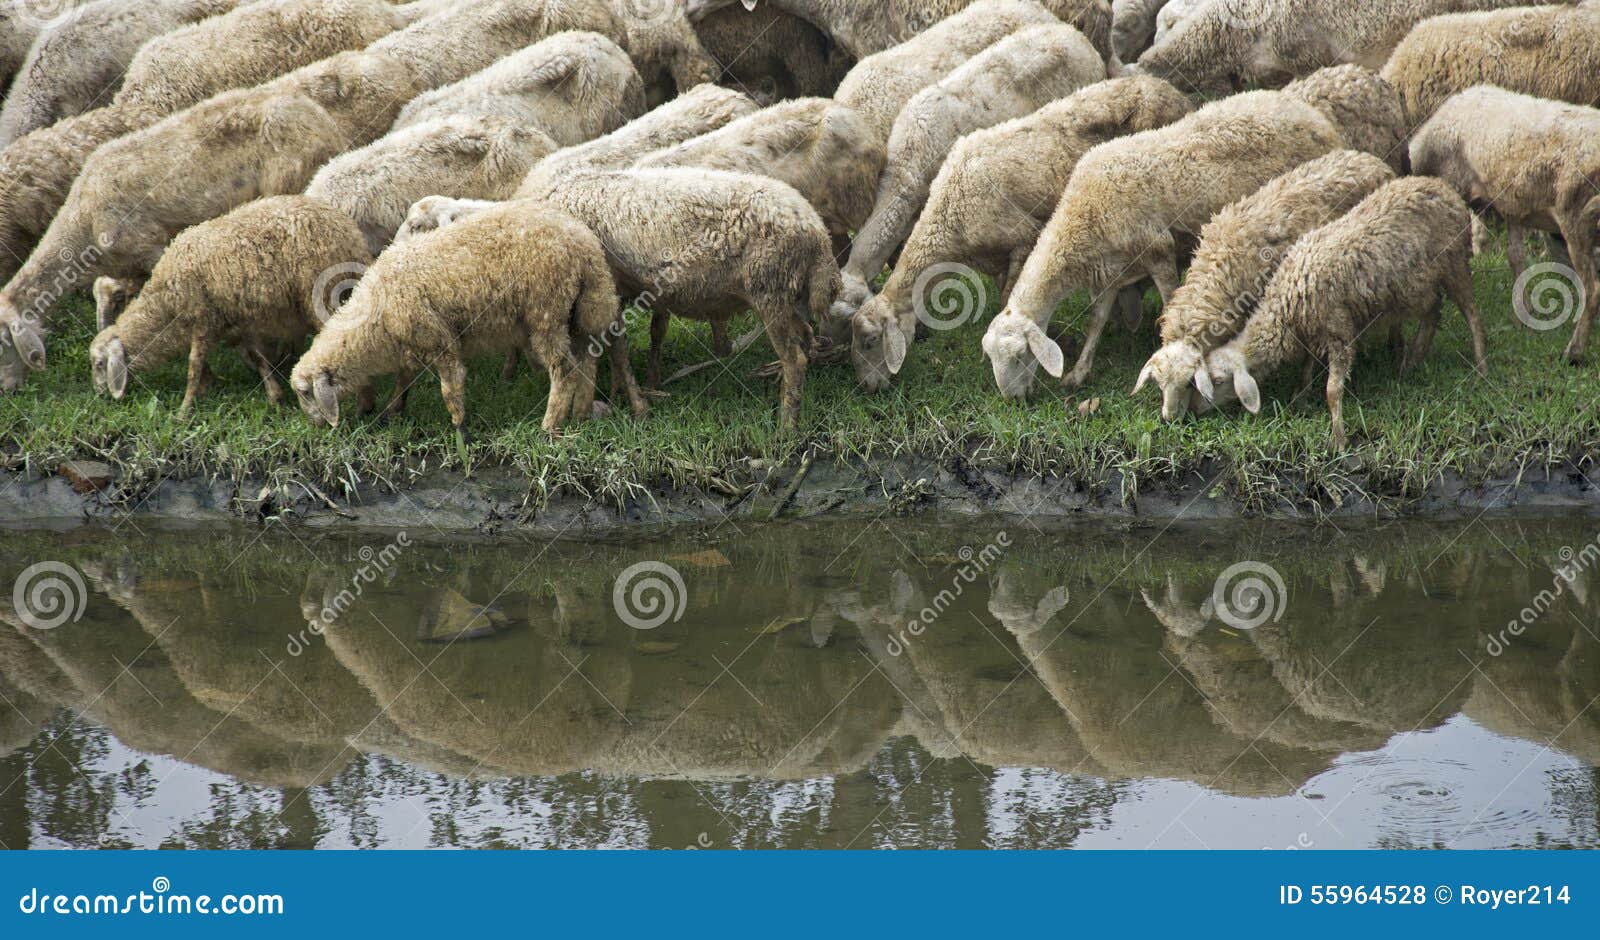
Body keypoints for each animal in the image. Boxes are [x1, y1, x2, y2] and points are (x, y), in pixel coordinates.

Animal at [87, 196, 373, 415]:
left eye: (100, 364)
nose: (99, 395)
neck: (166, 303)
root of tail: (349, 232)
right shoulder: (236, 319)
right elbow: (257, 356)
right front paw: (274, 395)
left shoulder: (203, 318)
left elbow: (194, 365)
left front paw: (184, 409)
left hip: (320, 294)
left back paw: (363, 403)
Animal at [290, 199, 627, 440]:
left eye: (305, 393)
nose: (314, 427)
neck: (373, 322)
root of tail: (584, 245)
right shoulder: (414, 342)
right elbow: (405, 379)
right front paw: (392, 412)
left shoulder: (438, 339)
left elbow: (450, 388)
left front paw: (461, 431)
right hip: (582, 309)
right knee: (587, 361)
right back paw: (580, 415)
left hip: (547, 311)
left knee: (564, 369)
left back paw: (550, 426)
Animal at [848, 74, 1194, 391]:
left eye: (870, 341)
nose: (868, 388)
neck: (949, 215)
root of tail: (1168, 89)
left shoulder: (1024, 237)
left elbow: (1008, 298)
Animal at [1198, 177, 1488, 448]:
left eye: (1219, 380)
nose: (1195, 411)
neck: (1287, 306)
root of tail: (1442, 186)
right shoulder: (1315, 331)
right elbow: (1307, 364)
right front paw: (1299, 396)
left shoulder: (1339, 332)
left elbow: (1332, 390)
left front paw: (1339, 439)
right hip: (1418, 286)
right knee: (1432, 313)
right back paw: (1410, 363)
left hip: (1455, 264)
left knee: (1472, 314)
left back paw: (1481, 366)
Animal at [1408, 85, 1600, 364]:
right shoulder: (1514, 206)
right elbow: (1516, 257)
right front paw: (1524, 314)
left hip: (1576, 217)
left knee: (1592, 290)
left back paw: (1574, 351)